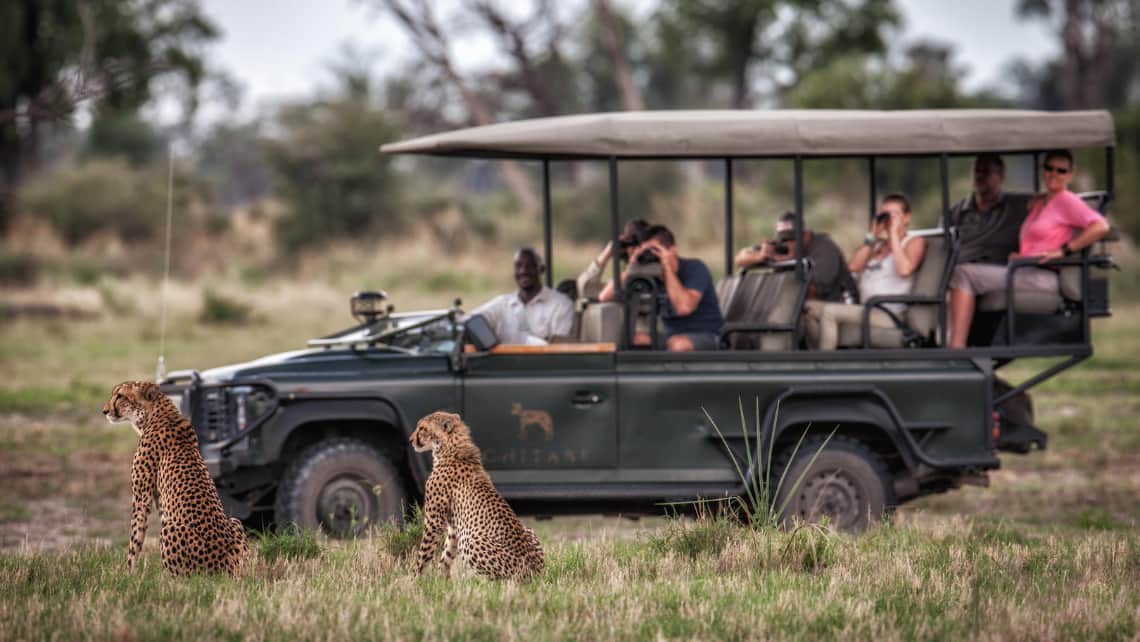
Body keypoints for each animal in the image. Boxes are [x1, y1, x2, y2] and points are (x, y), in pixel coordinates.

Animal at [103, 380, 249, 577]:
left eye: (120, 396)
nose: (104, 411)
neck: (155, 413)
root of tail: (227, 568)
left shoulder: (141, 499)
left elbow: (134, 541)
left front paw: (127, 576)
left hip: (172, 529)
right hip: (235, 522)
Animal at [412, 412, 544, 583]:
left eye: (422, 428)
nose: (411, 440)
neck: (449, 448)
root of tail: (535, 573)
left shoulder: (434, 522)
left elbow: (424, 554)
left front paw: (412, 579)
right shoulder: (454, 527)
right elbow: (446, 555)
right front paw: (444, 582)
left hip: (471, 540)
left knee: (497, 581)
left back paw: (476, 581)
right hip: (528, 530)